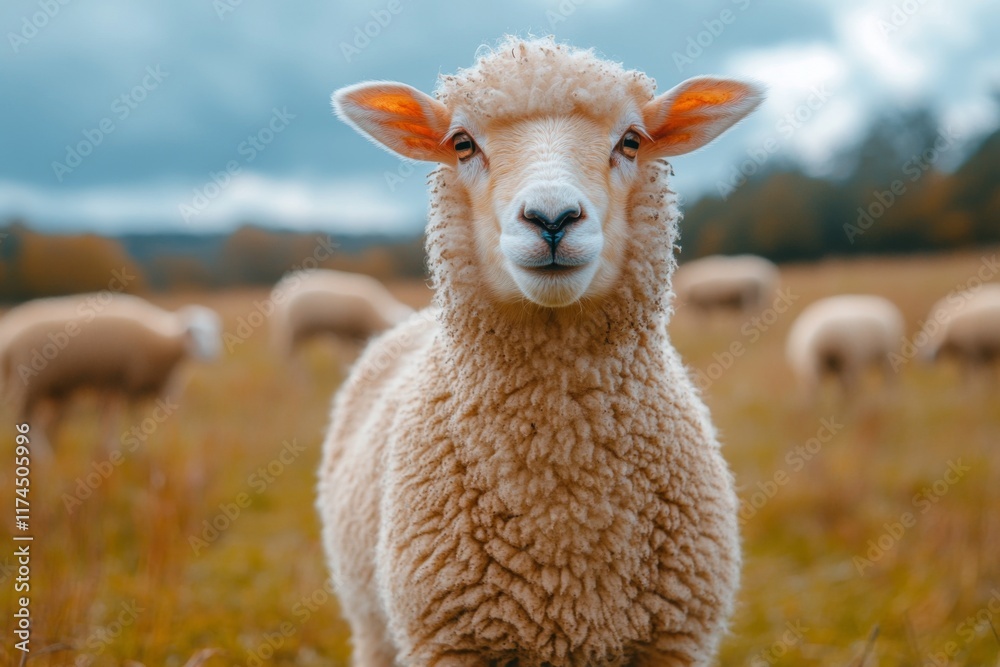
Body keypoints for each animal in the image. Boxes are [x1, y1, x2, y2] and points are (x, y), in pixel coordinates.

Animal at [0, 293, 221, 447]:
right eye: (193, 332)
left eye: (214, 330)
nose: (212, 354)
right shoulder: (132, 385)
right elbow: (134, 421)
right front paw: (138, 451)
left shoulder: (125, 385)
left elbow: (112, 419)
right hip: (29, 384)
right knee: (26, 420)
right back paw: (43, 457)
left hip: (53, 389)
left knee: (46, 421)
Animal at [317, 36, 764, 666]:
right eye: (462, 143)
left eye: (631, 140)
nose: (552, 218)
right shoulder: (447, 641)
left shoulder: (674, 641)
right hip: (373, 626)